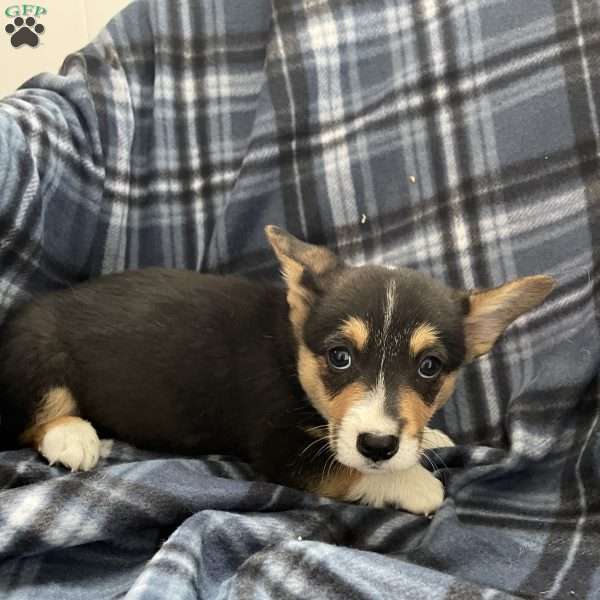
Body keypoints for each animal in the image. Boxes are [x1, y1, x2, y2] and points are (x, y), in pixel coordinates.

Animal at [0, 227, 552, 512]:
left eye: (429, 367)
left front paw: (429, 439)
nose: (379, 445)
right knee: (35, 418)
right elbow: (348, 469)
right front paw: (416, 483)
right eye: (340, 356)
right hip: (38, 351)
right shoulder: (281, 451)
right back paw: (73, 436)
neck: (293, 357)